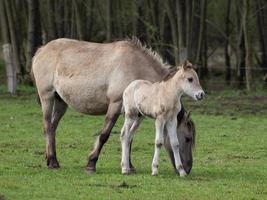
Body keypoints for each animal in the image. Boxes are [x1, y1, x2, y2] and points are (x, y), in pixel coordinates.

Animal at [32, 37, 197, 173]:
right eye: (188, 138)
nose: (188, 168)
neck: (135, 66)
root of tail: (41, 50)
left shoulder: (133, 113)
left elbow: (129, 137)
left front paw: (129, 166)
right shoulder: (115, 105)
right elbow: (105, 135)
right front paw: (91, 163)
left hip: (61, 102)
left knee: (52, 127)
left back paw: (51, 159)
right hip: (47, 97)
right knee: (47, 126)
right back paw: (52, 162)